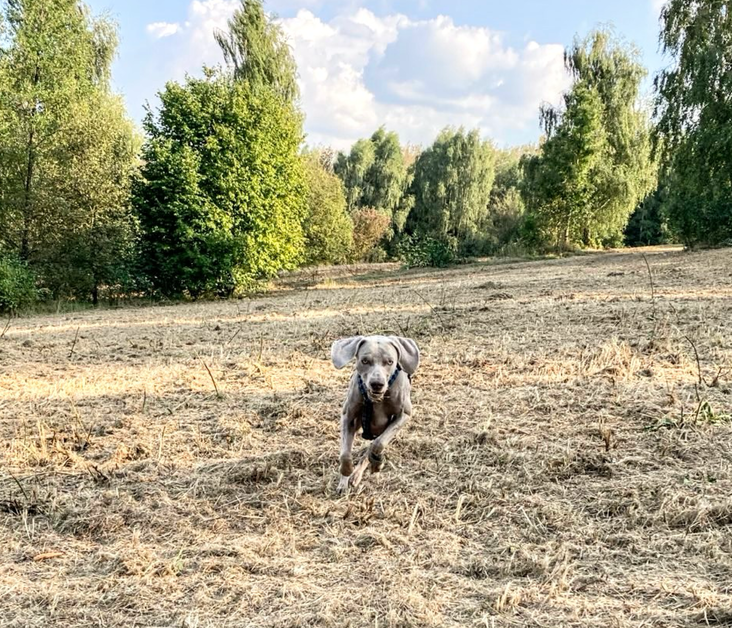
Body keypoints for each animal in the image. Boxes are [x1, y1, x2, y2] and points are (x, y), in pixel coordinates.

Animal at [330, 336, 418, 494]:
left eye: (390, 362)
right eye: (364, 361)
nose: (377, 384)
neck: (376, 400)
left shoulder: (404, 415)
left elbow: (378, 444)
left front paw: (376, 463)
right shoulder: (348, 416)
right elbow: (345, 454)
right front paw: (346, 473)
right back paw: (348, 480)